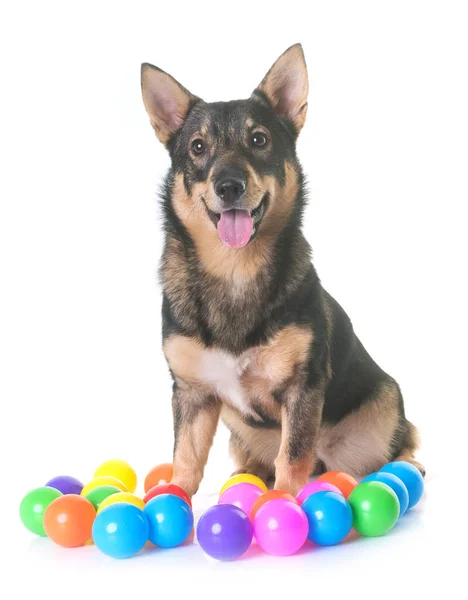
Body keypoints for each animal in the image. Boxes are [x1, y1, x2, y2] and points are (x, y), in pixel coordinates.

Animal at [140, 43, 424, 496]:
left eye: (259, 139)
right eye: (198, 147)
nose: (229, 186)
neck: (233, 269)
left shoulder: (301, 389)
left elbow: (292, 457)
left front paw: (284, 502)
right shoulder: (192, 393)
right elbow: (186, 455)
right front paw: (172, 496)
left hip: (380, 412)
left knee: (399, 443)